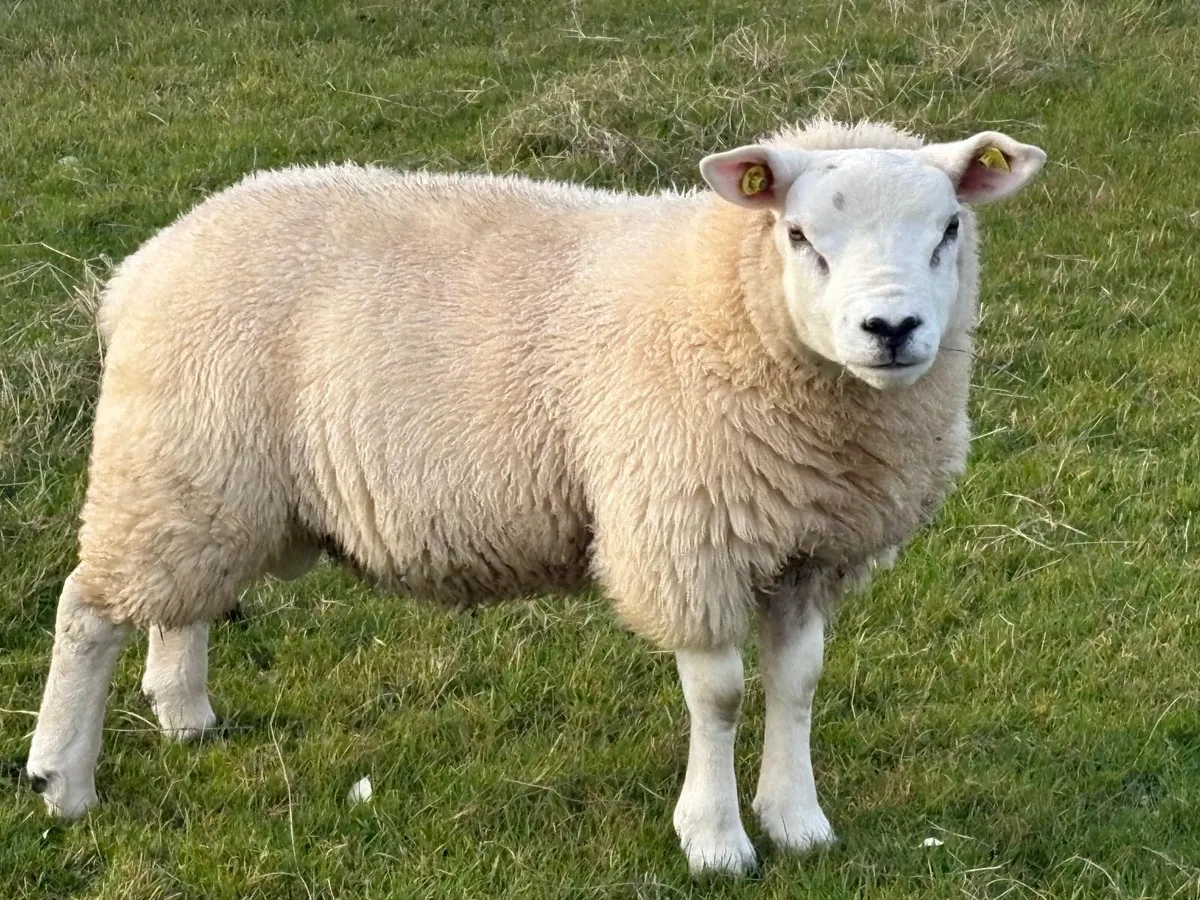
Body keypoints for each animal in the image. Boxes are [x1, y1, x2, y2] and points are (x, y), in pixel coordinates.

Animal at [27, 119, 1045, 874]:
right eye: (799, 236)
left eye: (950, 230)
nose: (892, 328)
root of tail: (145, 263)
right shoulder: (684, 533)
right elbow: (718, 697)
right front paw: (716, 840)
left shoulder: (808, 549)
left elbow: (797, 682)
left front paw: (798, 820)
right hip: (174, 456)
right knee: (88, 610)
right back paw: (61, 779)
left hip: (209, 482)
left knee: (178, 604)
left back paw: (184, 714)